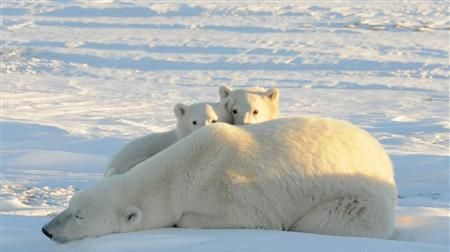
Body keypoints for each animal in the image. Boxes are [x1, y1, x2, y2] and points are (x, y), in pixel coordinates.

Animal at [42, 116, 396, 242]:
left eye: (79, 216)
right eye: (71, 205)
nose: (47, 230)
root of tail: (384, 158)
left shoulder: (233, 191)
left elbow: (249, 217)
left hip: (357, 200)